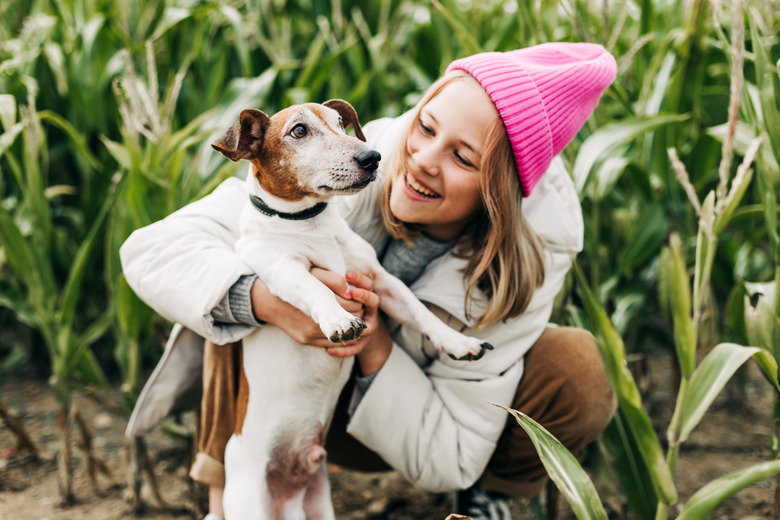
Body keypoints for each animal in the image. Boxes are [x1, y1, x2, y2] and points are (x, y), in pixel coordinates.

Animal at [210, 99, 490, 516]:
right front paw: (339, 319)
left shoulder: (380, 282)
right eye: (298, 131)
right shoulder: (280, 270)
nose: (372, 157)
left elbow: (418, 311)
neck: (313, 225)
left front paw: (457, 342)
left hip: (319, 503)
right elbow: (314, 288)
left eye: (341, 123)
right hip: (250, 501)